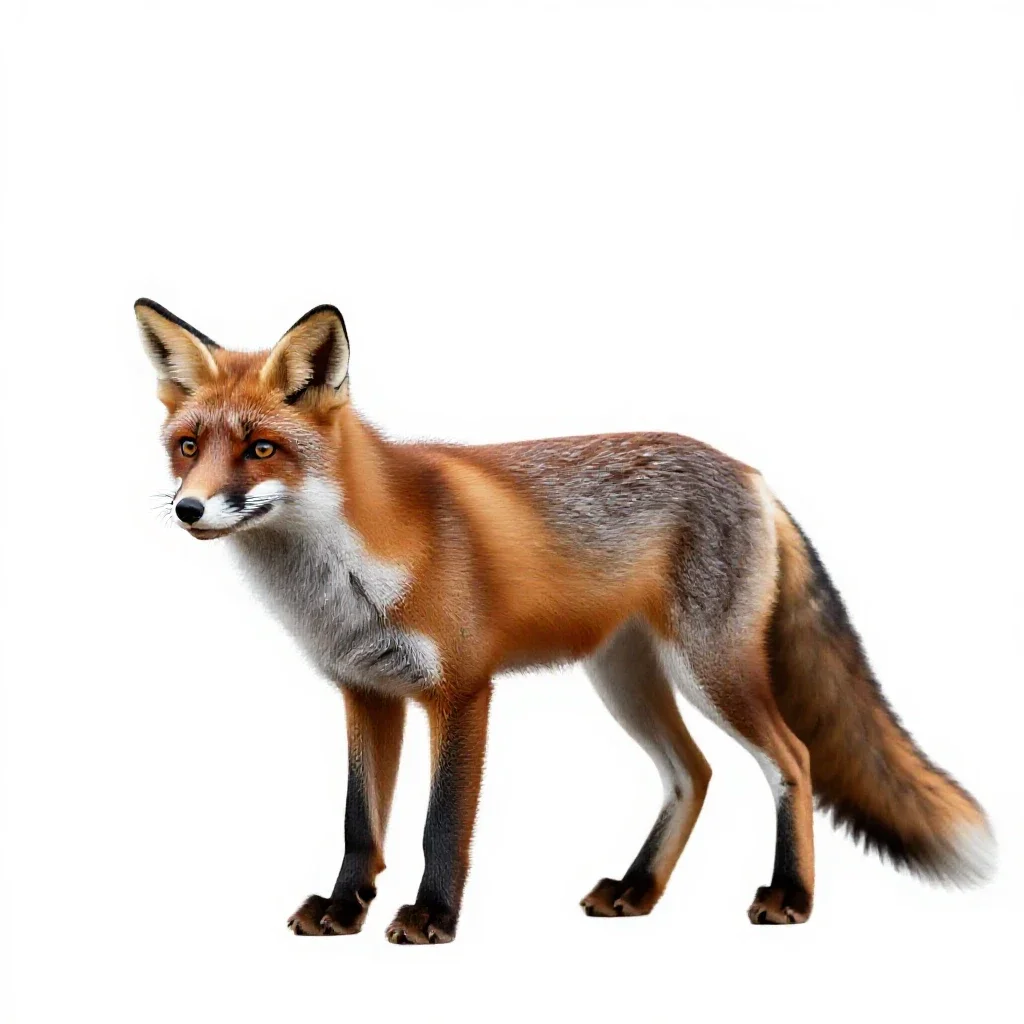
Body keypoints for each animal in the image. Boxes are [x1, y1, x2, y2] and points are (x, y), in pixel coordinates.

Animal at [137, 297, 995, 943]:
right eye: (188, 447)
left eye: (260, 448)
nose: (188, 510)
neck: (344, 574)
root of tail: (751, 473)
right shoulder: (366, 692)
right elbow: (360, 824)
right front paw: (345, 909)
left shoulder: (462, 690)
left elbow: (441, 823)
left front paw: (433, 917)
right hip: (625, 680)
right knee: (694, 773)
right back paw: (637, 892)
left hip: (712, 672)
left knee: (794, 761)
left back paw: (791, 898)